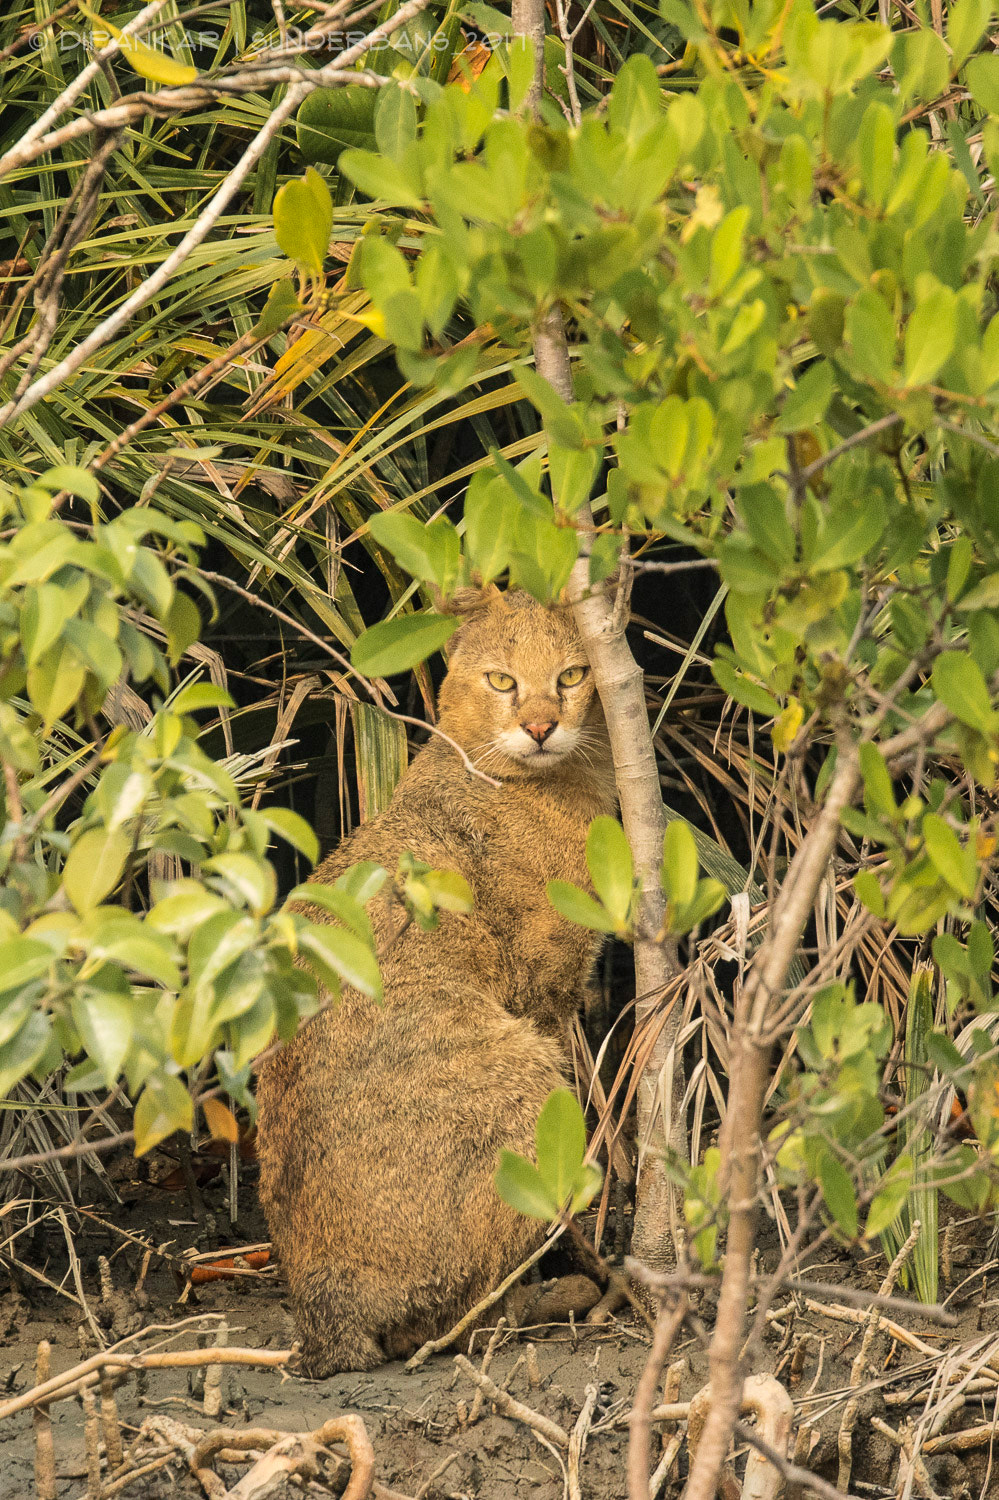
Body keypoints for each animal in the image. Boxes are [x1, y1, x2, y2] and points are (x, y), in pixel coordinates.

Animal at [255, 582, 615, 1374]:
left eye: (572, 675)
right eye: (502, 680)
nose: (540, 725)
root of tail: (321, 1315)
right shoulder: (547, 990)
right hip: (526, 1079)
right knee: (462, 1322)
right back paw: (560, 1294)